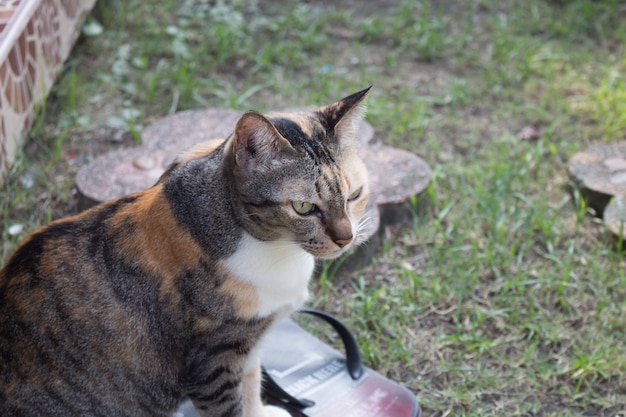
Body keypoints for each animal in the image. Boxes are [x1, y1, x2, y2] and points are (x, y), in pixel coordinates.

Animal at [0, 86, 370, 414]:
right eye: (303, 207)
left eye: (355, 194)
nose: (346, 238)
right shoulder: (213, 360)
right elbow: (233, 406)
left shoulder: (249, 350)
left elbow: (251, 387)